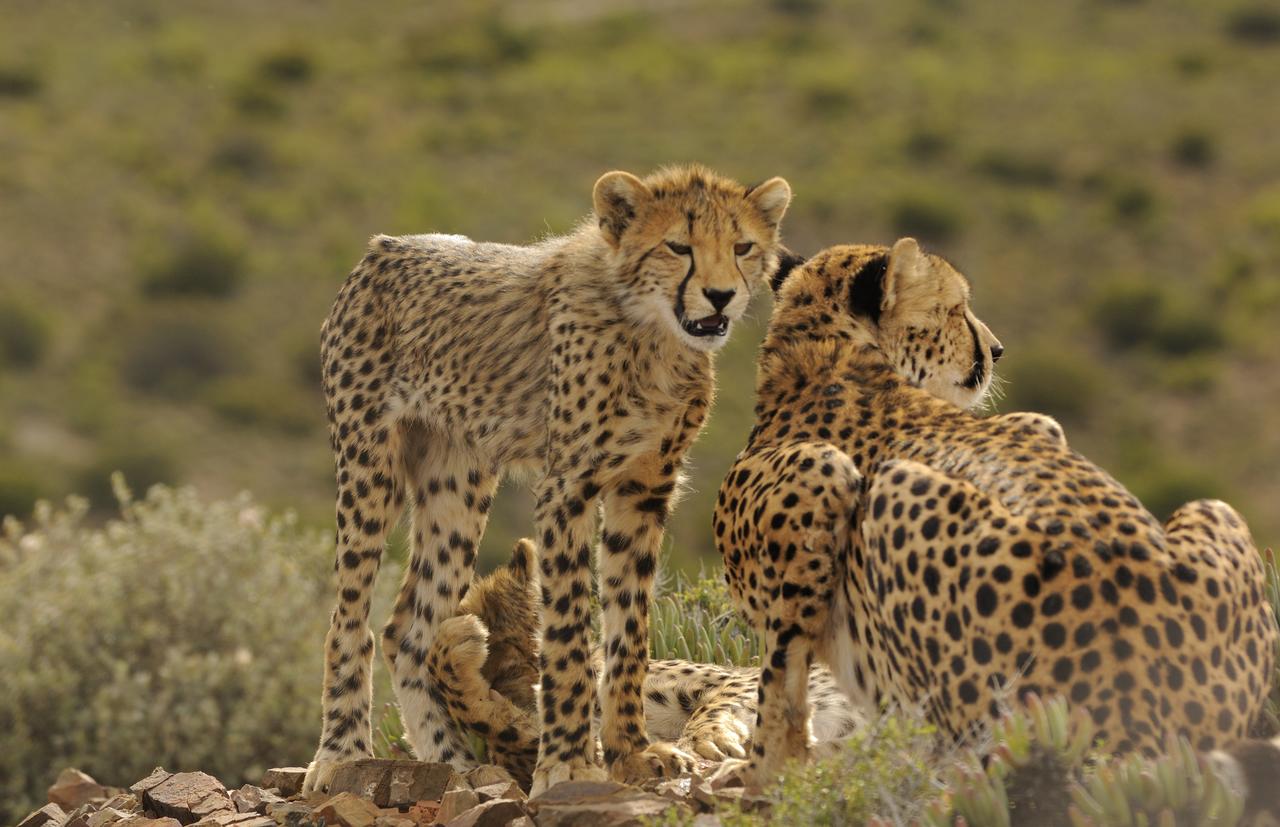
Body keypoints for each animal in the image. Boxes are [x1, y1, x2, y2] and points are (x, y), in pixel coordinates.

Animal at [306, 165, 793, 795]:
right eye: (678, 246)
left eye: (742, 247)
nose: (720, 295)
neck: (651, 332)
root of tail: (383, 247)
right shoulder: (571, 485)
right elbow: (566, 632)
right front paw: (568, 764)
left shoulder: (645, 487)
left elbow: (628, 627)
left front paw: (631, 753)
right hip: (369, 467)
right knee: (350, 617)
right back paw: (340, 754)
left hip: (457, 485)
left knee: (407, 630)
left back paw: (454, 763)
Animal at [710, 236, 1277, 794]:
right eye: (957, 310)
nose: (997, 349)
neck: (824, 353)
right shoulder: (1037, 425)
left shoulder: (817, 473)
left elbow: (780, 684)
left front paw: (759, 775)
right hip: (1213, 511)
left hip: (900, 496)